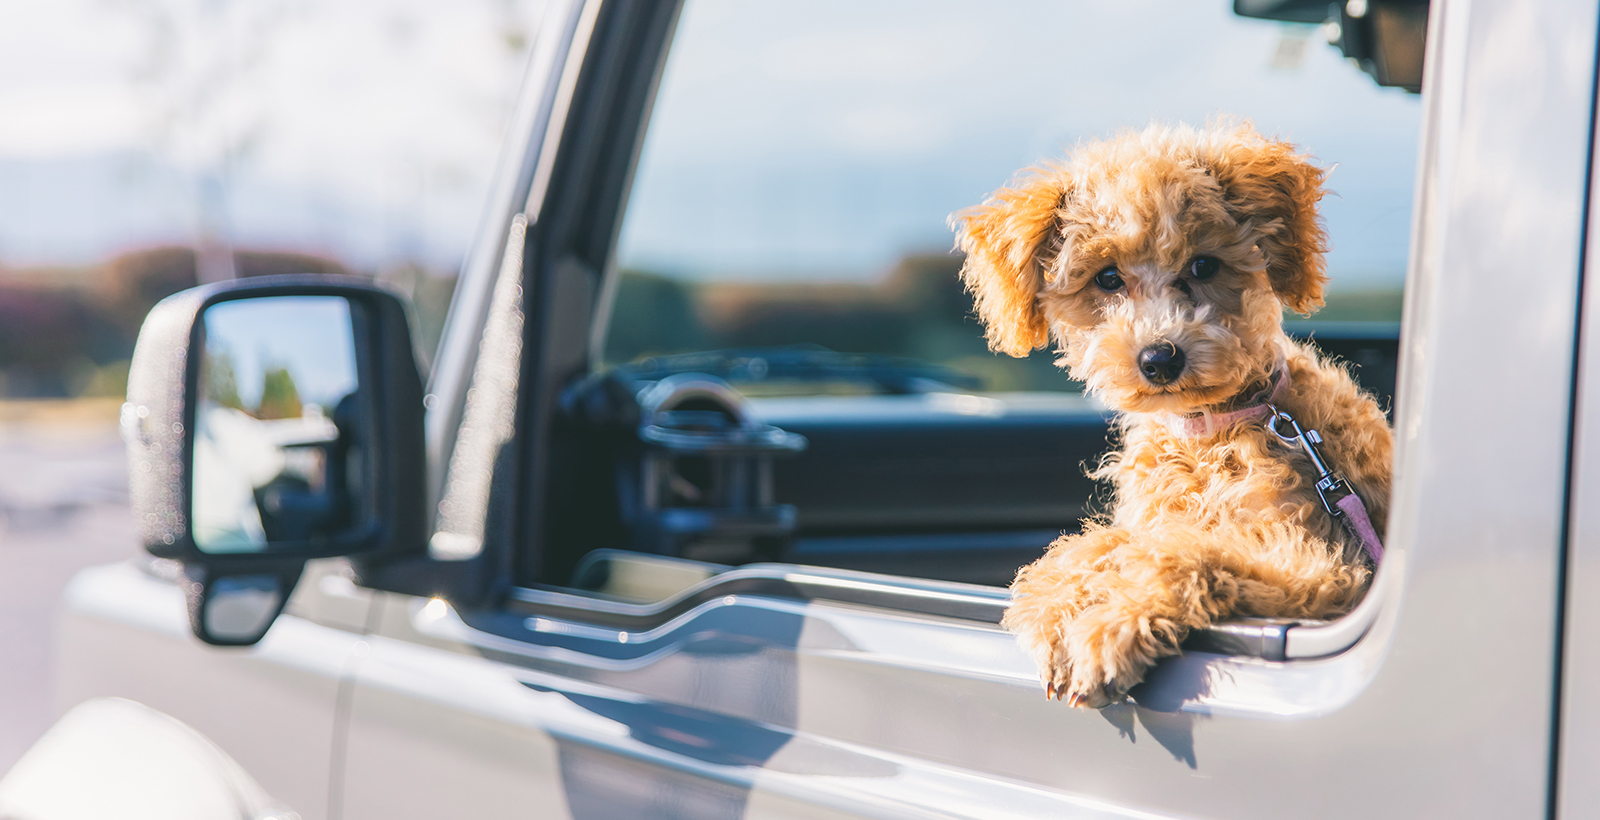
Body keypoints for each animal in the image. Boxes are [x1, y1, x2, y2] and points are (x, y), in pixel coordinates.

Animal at [953, 120, 1395, 704]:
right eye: (1107, 277)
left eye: (1204, 265)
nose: (1159, 358)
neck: (1209, 432)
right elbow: (1099, 544)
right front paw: (1054, 598)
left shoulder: (1319, 565)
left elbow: (1186, 553)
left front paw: (1108, 623)